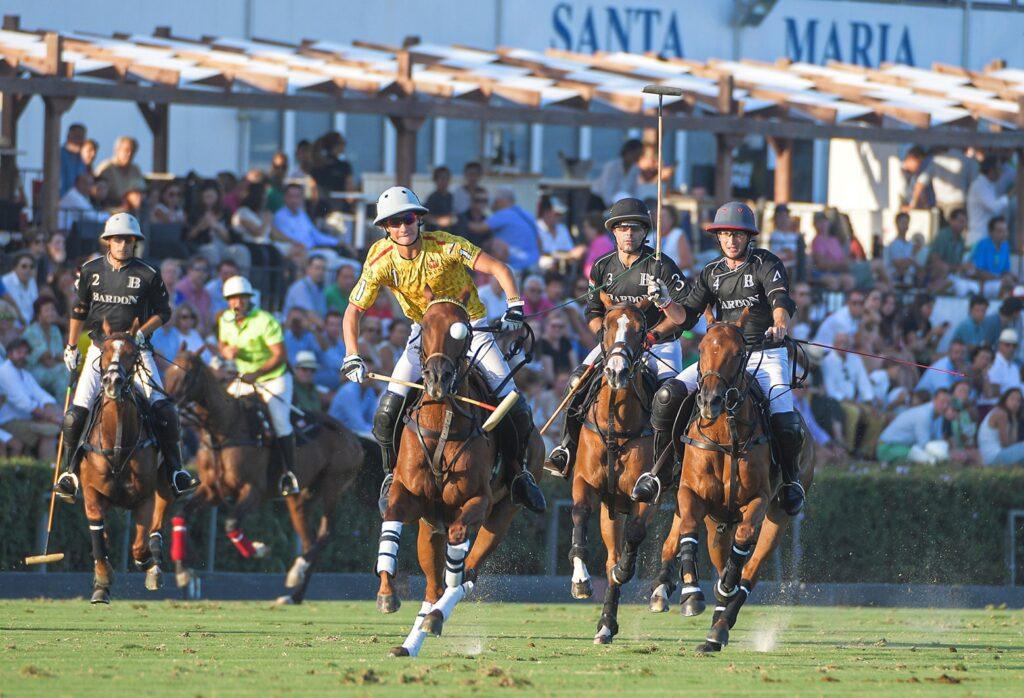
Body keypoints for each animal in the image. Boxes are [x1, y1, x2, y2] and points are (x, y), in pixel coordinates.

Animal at [81, 317, 172, 601]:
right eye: (105, 351)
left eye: (133, 353)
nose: (112, 381)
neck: (118, 442)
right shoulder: (91, 490)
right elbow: (98, 538)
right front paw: (102, 579)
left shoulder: (145, 496)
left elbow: (139, 547)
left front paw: (150, 565)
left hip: (164, 484)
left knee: (158, 520)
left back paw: (155, 560)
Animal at [159, 350, 364, 601]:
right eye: (167, 373)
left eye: (187, 376)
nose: (166, 404)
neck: (224, 429)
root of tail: (354, 439)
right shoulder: (213, 490)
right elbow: (182, 515)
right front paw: (183, 573)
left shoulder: (253, 490)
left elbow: (231, 523)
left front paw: (258, 550)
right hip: (301, 498)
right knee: (309, 541)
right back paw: (295, 594)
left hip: (332, 486)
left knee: (327, 533)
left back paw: (296, 572)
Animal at [376, 296, 544, 655]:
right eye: (424, 326)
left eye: (462, 330)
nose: (438, 379)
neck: (442, 421)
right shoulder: (410, 495)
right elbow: (391, 518)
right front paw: (386, 594)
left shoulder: (476, 498)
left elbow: (458, 551)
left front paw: (513, 315)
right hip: (429, 528)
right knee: (432, 585)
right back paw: (410, 643)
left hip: (502, 515)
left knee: (469, 571)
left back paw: (437, 615)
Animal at [565, 296, 659, 642]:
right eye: (606, 325)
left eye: (641, 328)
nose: (616, 370)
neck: (616, 425)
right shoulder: (584, 481)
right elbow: (579, 515)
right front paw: (580, 581)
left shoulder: (646, 493)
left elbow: (636, 533)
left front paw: (624, 572)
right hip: (611, 509)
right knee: (609, 557)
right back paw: (605, 622)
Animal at [655, 313, 815, 650]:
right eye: (702, 347)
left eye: (739, 352)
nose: (710, 401)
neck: (725, 435)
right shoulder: (691, 493)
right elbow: (688, 531)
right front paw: (691, 596)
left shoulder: (757, 500)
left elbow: (742, 546)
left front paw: (726, 586)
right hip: (717, 521)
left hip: (777, 516)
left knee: (749, 572)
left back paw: (720, 626)